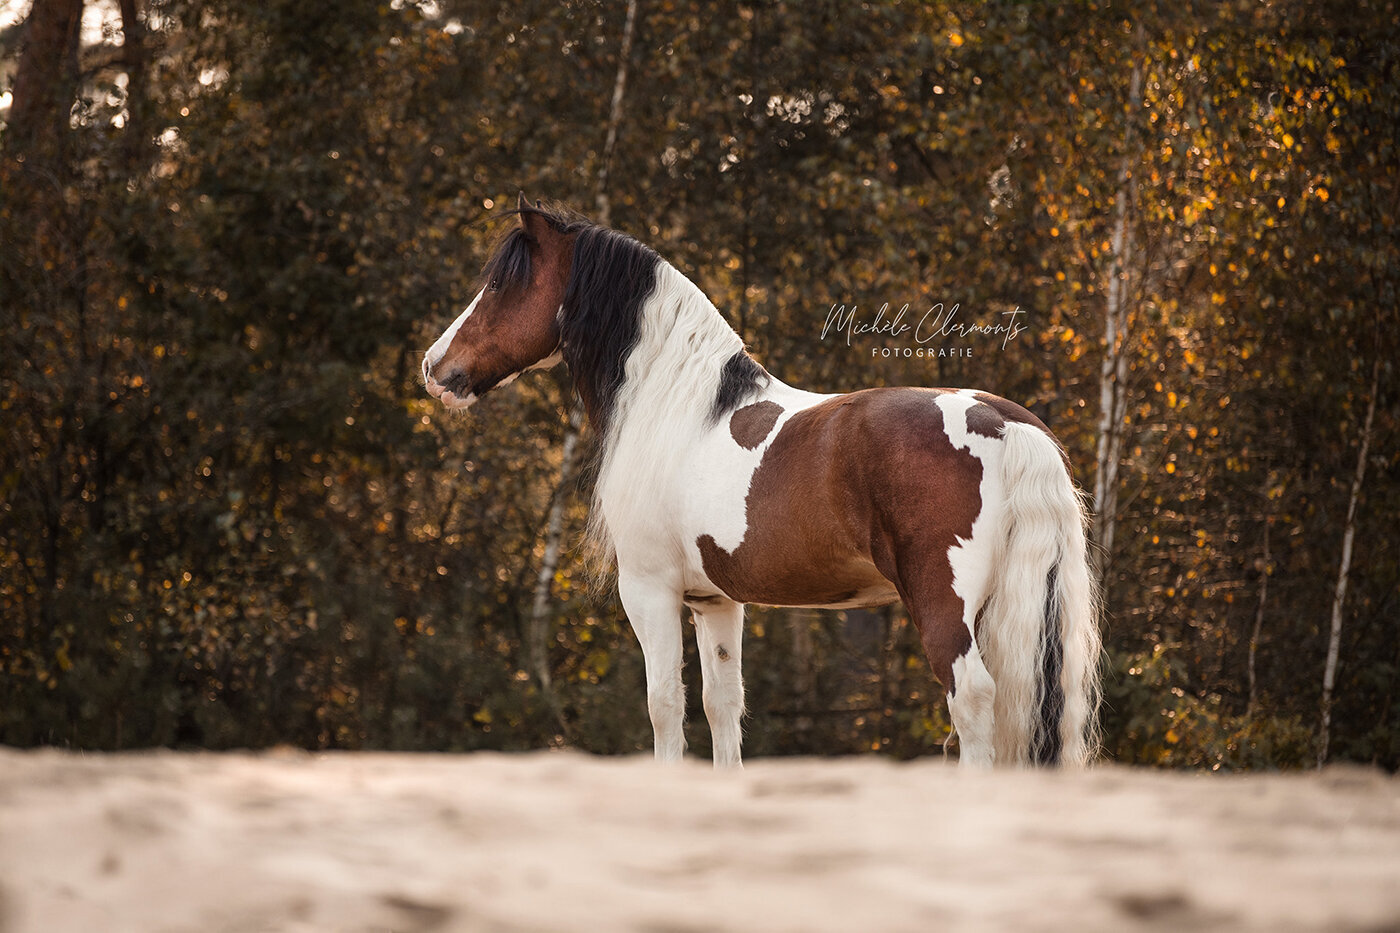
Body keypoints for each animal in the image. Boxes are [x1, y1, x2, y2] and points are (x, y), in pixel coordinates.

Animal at [420, 194, 1097, 762]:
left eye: (501, 284)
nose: (433, 367)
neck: (678, 406)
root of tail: (1005, 423)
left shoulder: (650, 590)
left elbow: (665, 707)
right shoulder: (716, 600)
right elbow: (723, 706)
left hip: (946, 607)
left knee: (975, 703)